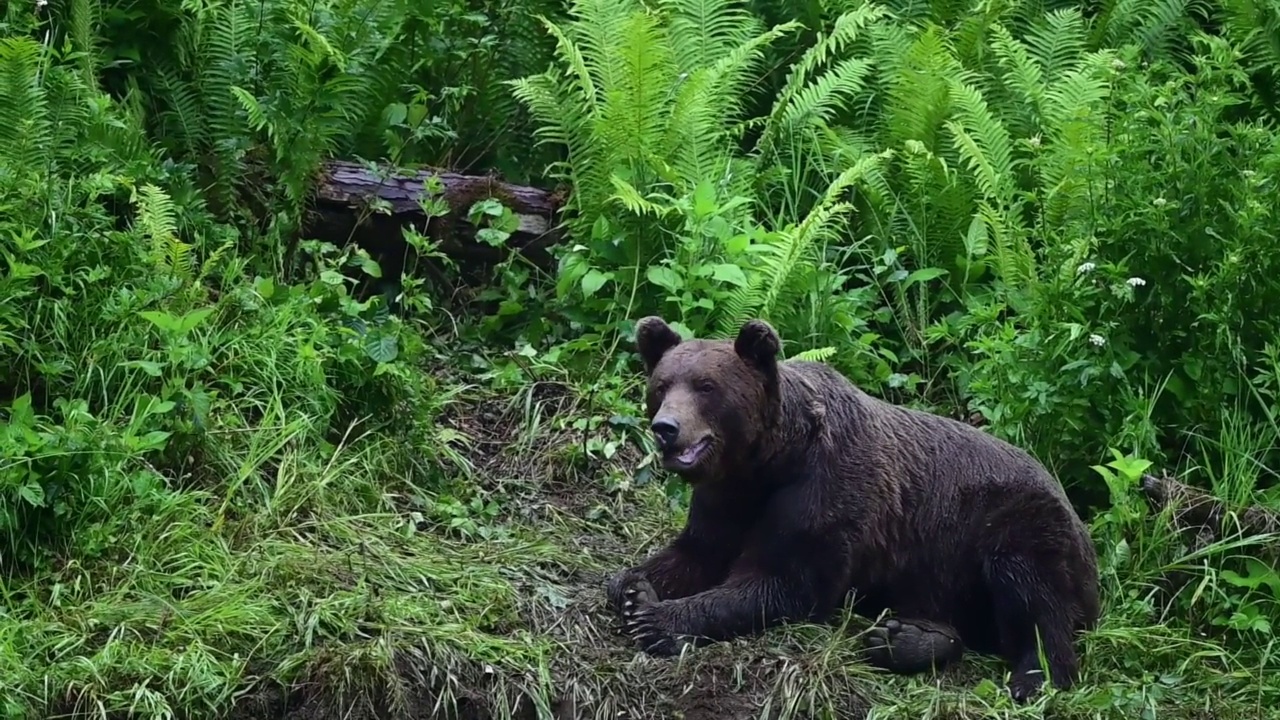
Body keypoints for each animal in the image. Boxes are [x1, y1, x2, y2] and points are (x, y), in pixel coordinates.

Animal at [606, 315, 1100, 702]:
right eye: (662, 385)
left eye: (706, 387)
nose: (666, 428)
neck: (767, 463)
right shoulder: (725, 499)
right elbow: (694, 553)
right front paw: (632, 586)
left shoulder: (822, 495)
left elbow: (781, 582)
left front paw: (657, 618)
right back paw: (902, 638)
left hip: (1012, 520)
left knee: (1034, 591)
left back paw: (1033, 677)